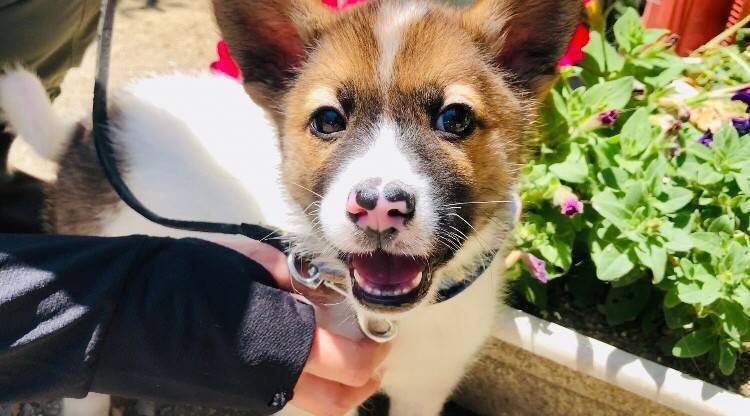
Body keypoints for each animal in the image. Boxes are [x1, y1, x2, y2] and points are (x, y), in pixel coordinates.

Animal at [0, 0, 579, 414]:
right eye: (328, 120)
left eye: (454, 118)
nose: (377, 207)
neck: (382, 321)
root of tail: (86, 133)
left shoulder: (425, 390)